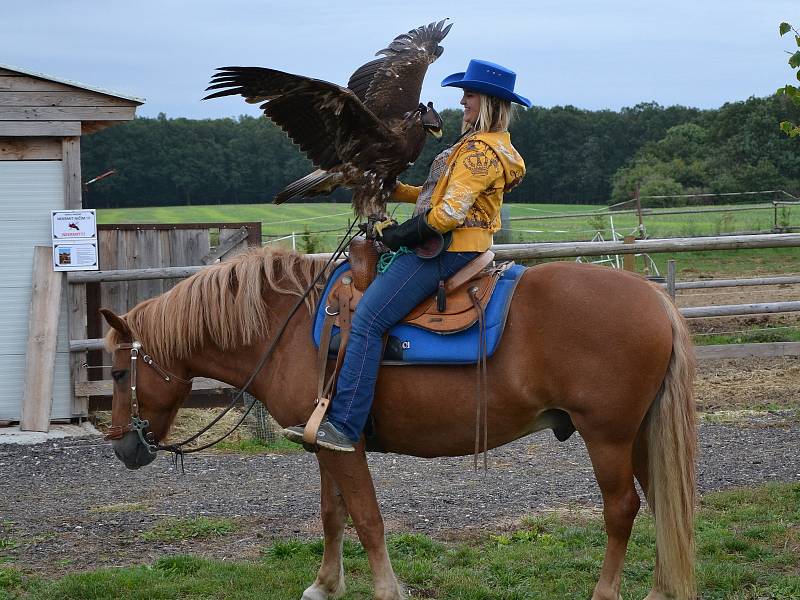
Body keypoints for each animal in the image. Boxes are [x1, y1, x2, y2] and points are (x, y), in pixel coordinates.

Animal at [100, 246, 696, 596]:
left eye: (117, 370)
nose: (122, 447)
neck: (286, 329)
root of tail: (656, 300)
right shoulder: (327, 445)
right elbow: (332, 515)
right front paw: (325, 585)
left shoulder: (344, 446)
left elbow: (367, 519)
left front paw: (387, 590)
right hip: (638, 434)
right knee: (662, 500)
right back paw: (661, 590)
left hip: (607, 435)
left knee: (622, 509)